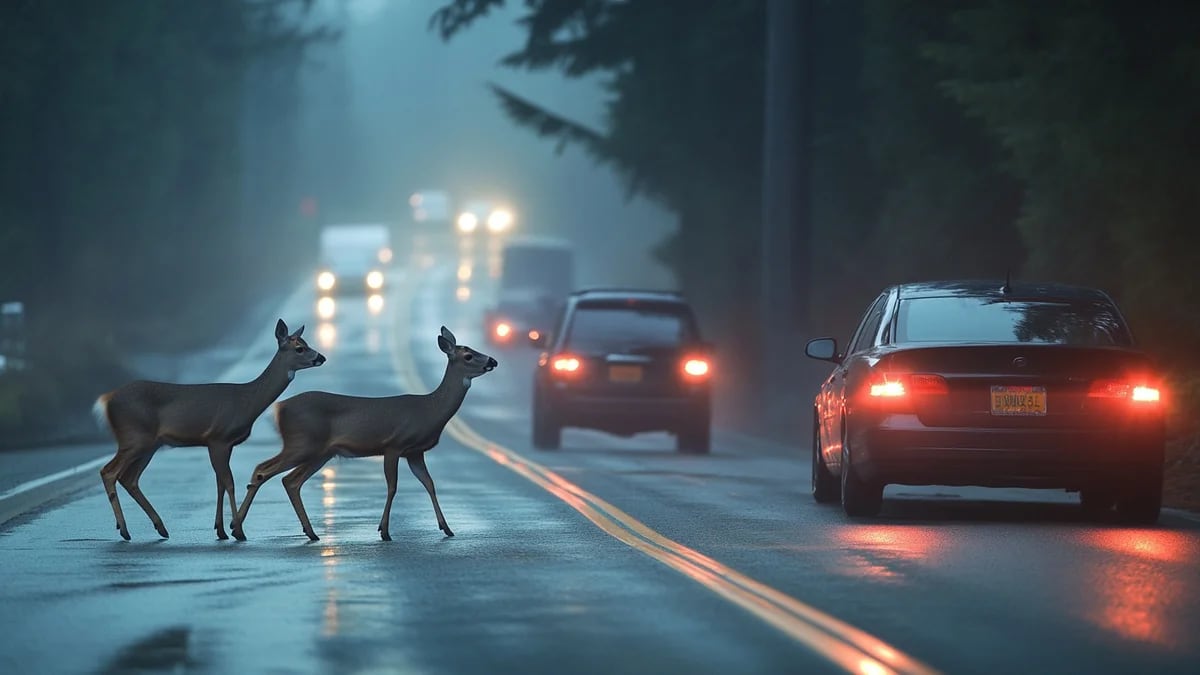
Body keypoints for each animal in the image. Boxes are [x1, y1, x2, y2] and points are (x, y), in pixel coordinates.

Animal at [94, 317, 326, 538]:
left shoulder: (224, 444)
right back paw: (125, 530)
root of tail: (107, 400)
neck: (248, 401)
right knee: (109, 471)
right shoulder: (218, 438)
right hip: (134, 437)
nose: (321, 358)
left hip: (150, 444)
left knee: (129, 478)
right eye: (299, 348)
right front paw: (238, 531)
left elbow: (219, 484)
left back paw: (160, 527)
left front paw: (221, 530)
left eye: (306, 343)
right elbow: (229, 483)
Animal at [231, 324, 494, 538]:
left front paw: (447, 528)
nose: (492, 361)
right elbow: (392, 486)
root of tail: (279, 408)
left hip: (320, 452)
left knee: (290, 480)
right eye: (469, 355)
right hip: (302, 443)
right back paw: (238, 529)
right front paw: (384, 531)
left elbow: (429, 484)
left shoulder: (415, 452)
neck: (430, 409)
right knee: (265, 469)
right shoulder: (394, 445)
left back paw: (308, 532)